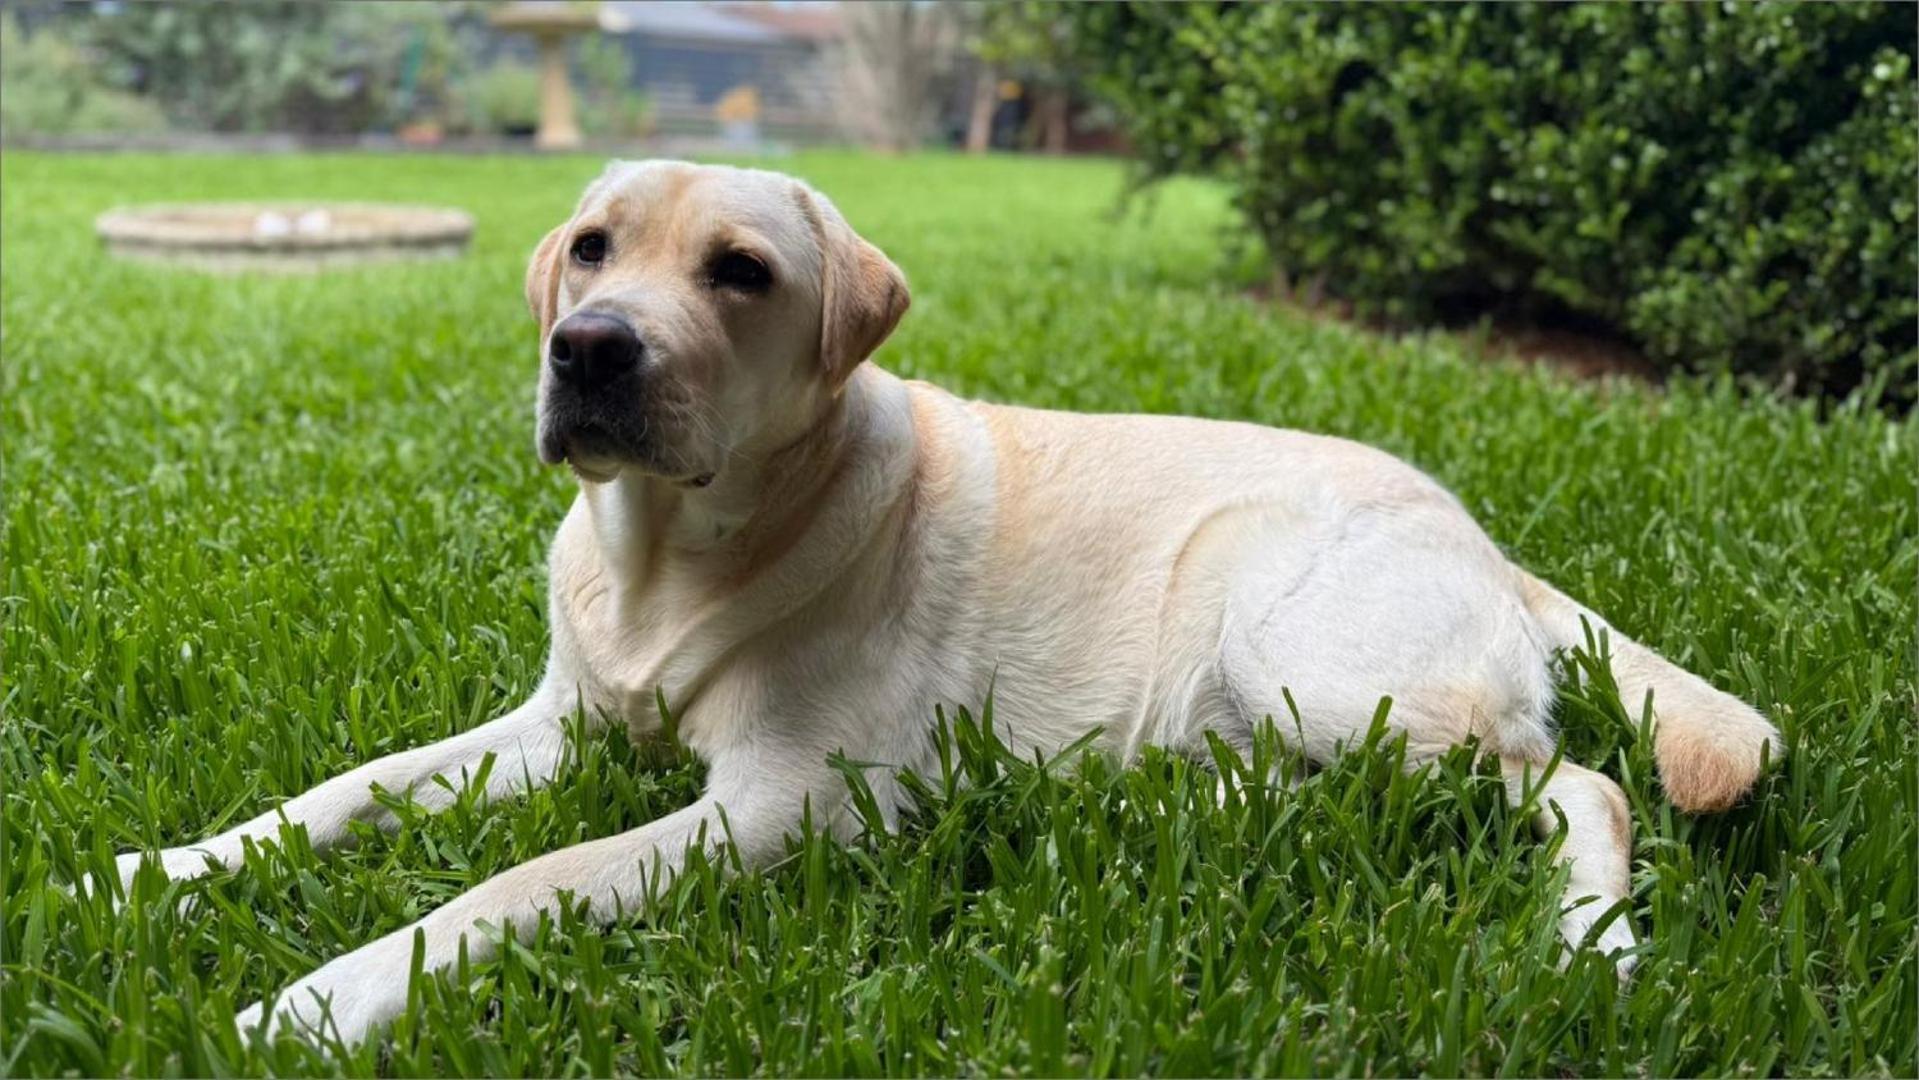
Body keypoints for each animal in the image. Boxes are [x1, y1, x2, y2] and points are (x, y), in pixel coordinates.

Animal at [112, 163, 1773, 1051]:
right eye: (591, 249)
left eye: (738, 272)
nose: (587, 348)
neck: (666, 559)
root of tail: (1487, 542)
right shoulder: (559, 725)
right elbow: (352, 788)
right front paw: (152, 871)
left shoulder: (779, 800)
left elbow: (522, 882)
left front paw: (322, 1002)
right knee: (1300, 792)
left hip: (1287, 629)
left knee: (1574, 781)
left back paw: (1588, 949)